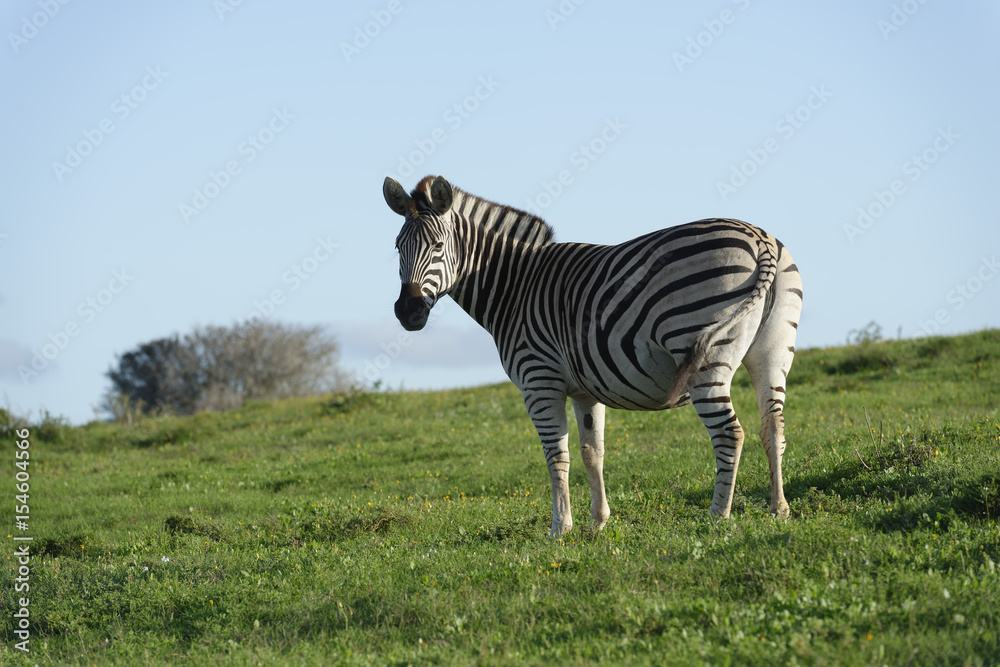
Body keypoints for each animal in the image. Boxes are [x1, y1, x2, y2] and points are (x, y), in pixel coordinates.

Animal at [384, 174, 803, 538]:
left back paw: (718, 516)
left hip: (704, 354)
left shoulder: (539, 381)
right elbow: (592, 452)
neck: (515, 287)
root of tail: (760, 239)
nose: (407, 312)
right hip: (773, 351)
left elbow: (557, 456)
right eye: (398, 248)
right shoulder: (586, 388)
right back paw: (778, 508)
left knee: (730, 432)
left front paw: (559, 529)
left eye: (439, 248)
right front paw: (598, 522)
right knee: (773, 425)